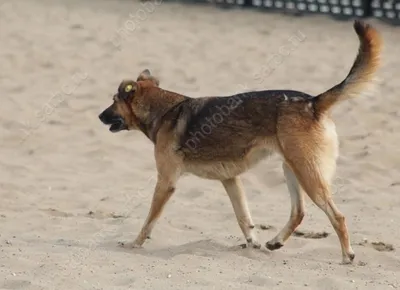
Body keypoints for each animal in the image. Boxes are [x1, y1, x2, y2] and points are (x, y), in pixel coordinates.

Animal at [99, 21, 382, 266]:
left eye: (113, 100)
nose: (99, 116)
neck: (165, 110)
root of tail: (313, 102)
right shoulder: (230, 180)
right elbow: (243, 218)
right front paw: (252, 244)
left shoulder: (166, 182)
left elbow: (148, 220)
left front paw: (134, 243)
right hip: (292, 168)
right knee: (298, 212)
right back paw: (275, 242)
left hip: (307, 173)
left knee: (337, 216)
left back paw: (347, 255)